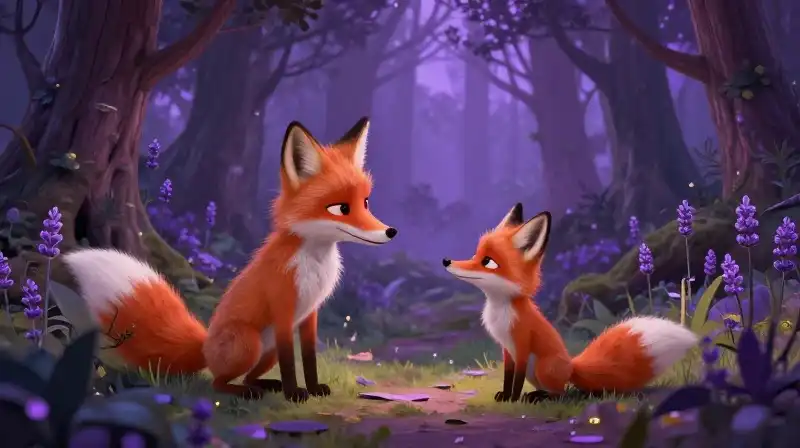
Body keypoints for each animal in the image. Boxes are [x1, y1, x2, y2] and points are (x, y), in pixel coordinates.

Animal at [62, 117, 397, 403]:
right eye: (341, 208)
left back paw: (265, 385)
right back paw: (247, 392)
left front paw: (312, 389)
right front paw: (294, 394)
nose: (391, 231)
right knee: (217, 382)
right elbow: (291, 363)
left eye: (366, 202)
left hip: (266, 350)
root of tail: (205, 345)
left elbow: (309, 358)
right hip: (249, 341)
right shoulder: (284, 309)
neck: (314, 263)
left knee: (247, 376)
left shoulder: (309, 315)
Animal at [442, 203, 698, 403]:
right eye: (475, 255)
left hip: (543, 367)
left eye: (488, 262)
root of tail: (571, 365)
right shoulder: (507, 350)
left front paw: (513, 399)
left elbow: (516, 381)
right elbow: (507, 377)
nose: (446, 260)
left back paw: (539, 397)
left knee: (561, 392)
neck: (501, 309)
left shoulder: (522, 345)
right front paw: (505, 396)